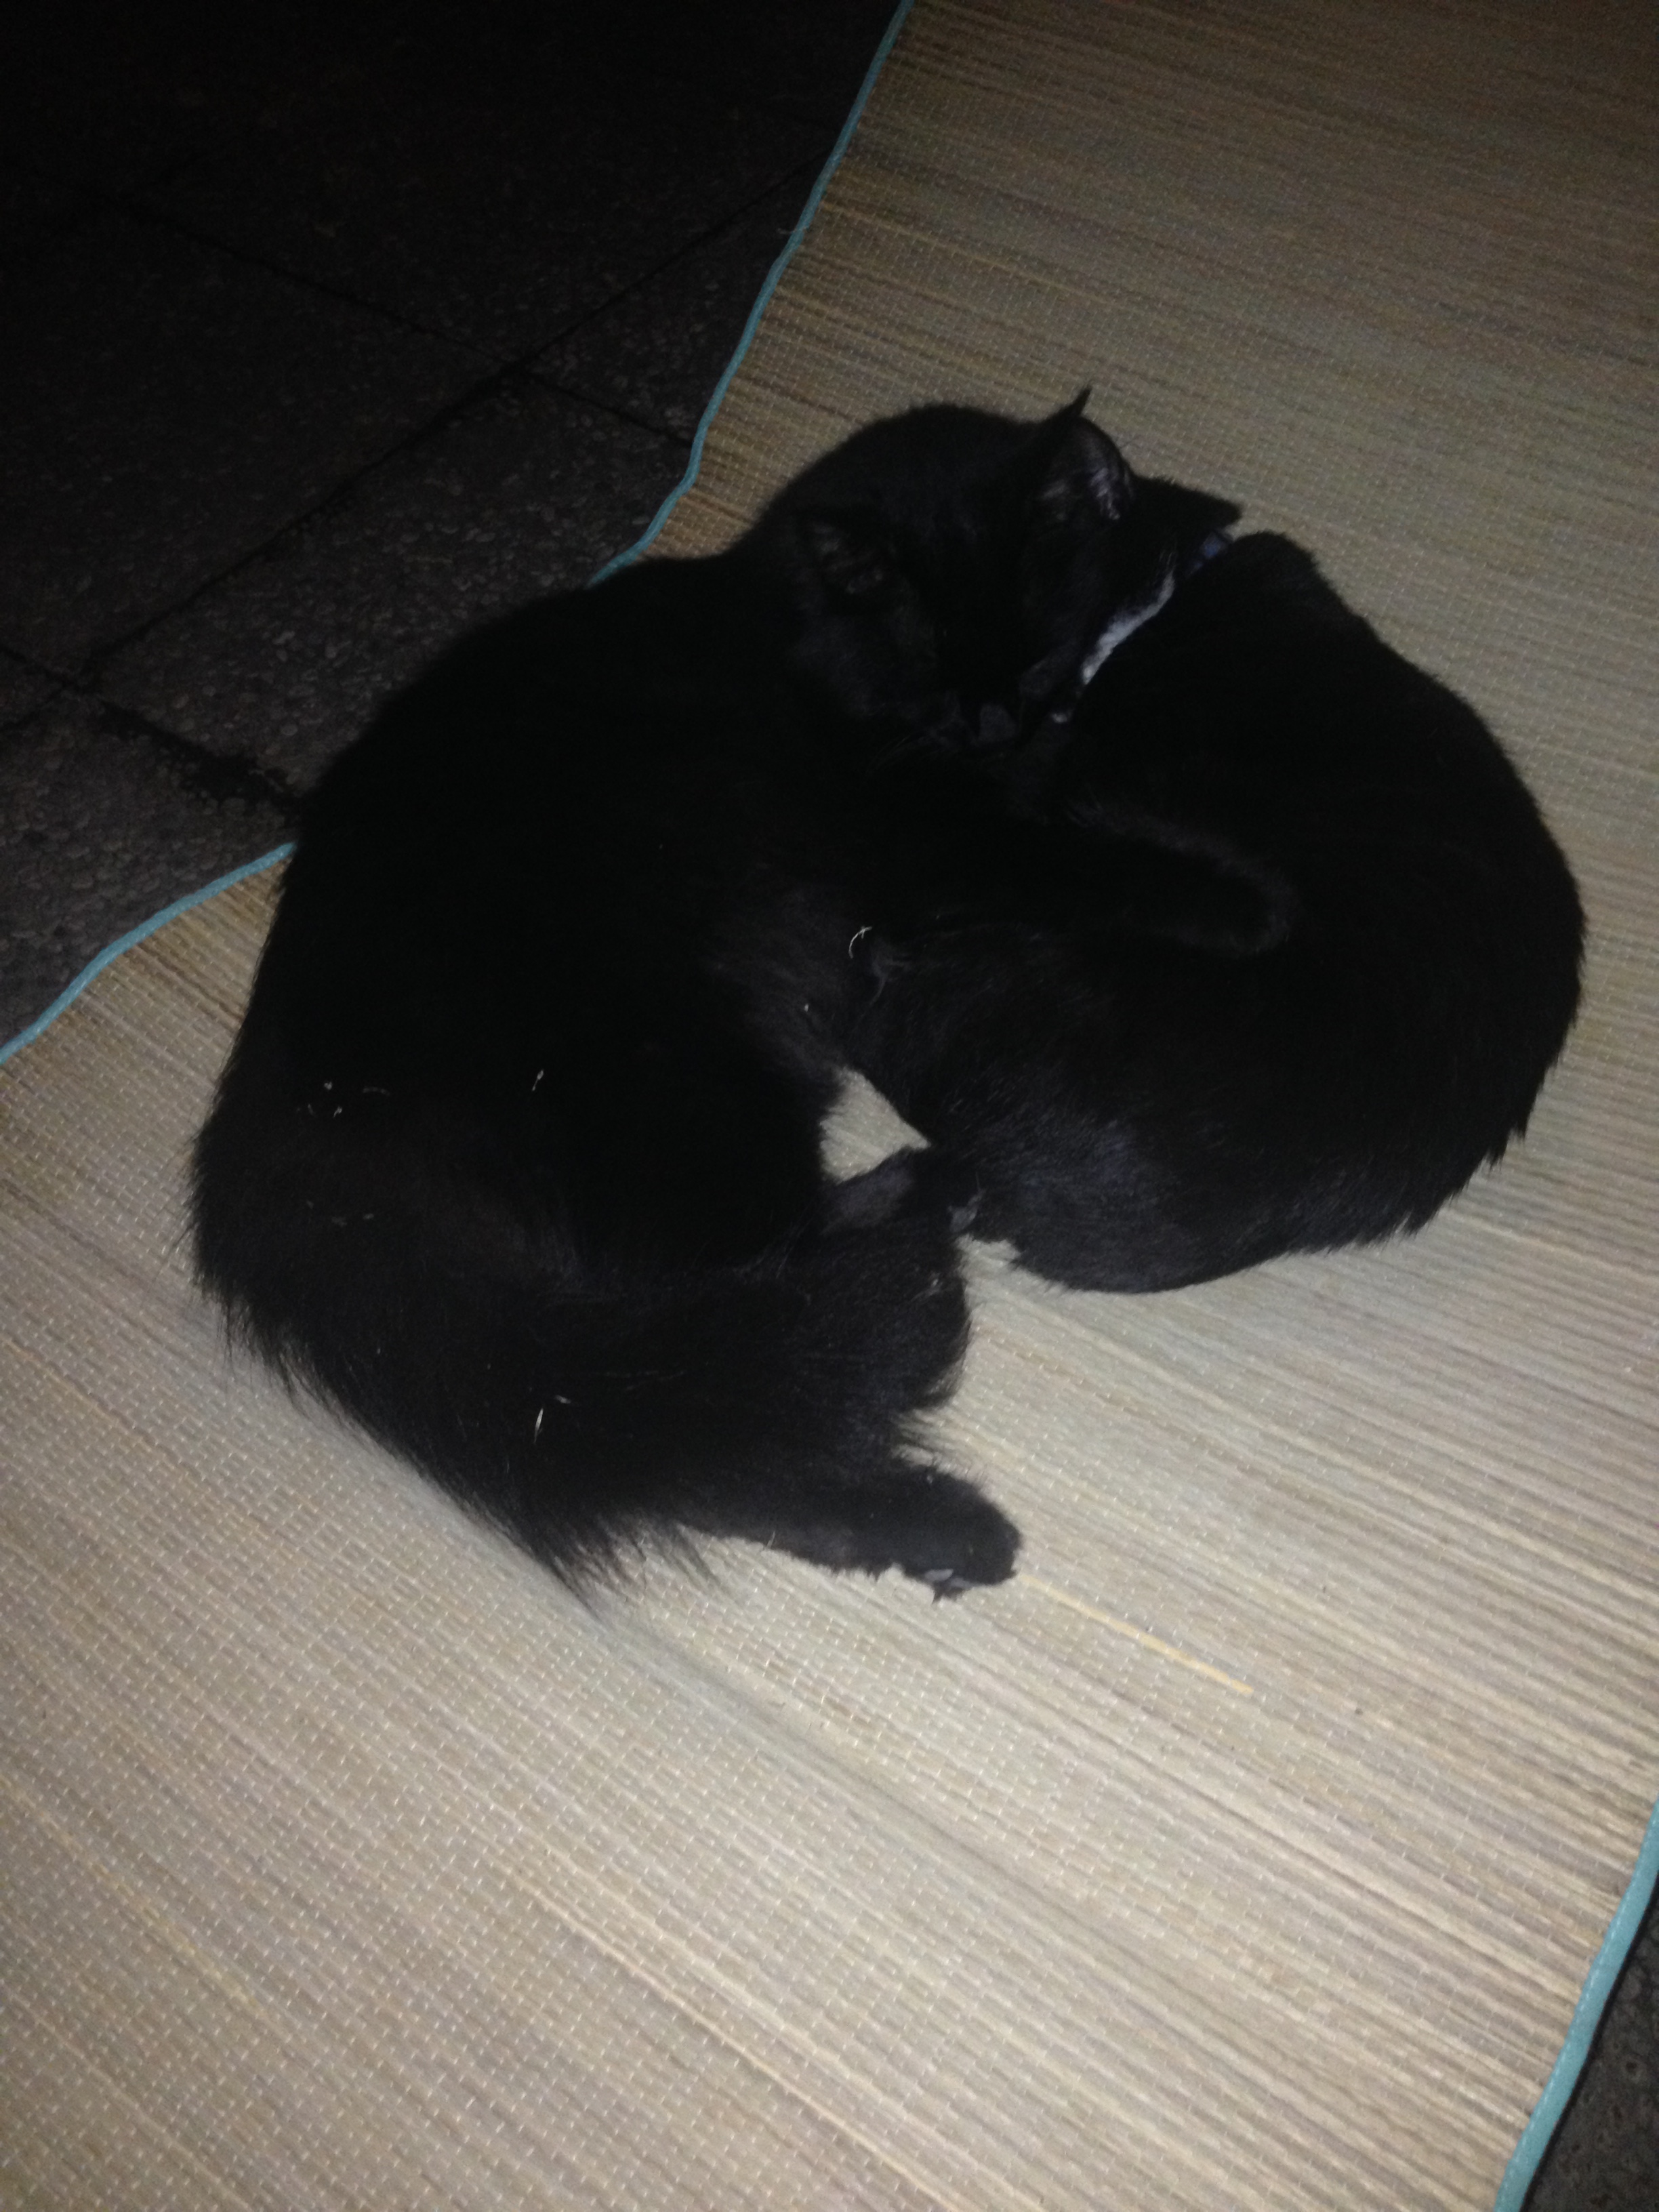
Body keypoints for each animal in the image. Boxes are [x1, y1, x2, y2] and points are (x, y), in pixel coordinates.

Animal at [192, 397, 1207, 1596]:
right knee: (745, 1325)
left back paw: (939, 1531)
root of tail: (292, 1108)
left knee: (702, 1420)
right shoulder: (931, 845)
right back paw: (929, 1232)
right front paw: (1240, 898)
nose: (993, 722)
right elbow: (1085, 862)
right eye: (927, 664)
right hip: (687, 1076)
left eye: (1040, 645)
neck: (787, 632)